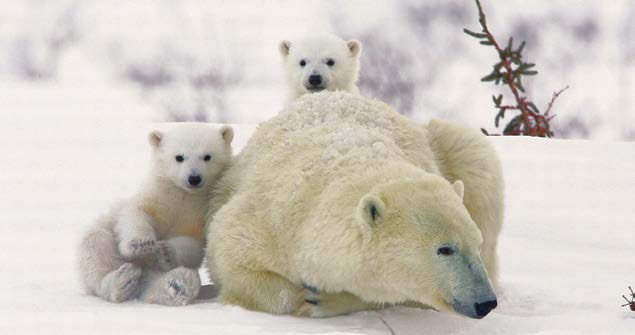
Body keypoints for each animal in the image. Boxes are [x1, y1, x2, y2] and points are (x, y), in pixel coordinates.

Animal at [79, 124, 234, 308]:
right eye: (179, 157)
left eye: (207, 156)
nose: (194, 178)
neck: (184, 195)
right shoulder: (157, 197)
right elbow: (138, 212)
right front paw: (142, 244)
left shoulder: (201, 213)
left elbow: (194, 244)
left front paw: (165, 251)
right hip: (105, 232)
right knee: (96, 246)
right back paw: (122, 282)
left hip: (156, 275)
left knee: (170, 280)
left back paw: (177, 286)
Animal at [206, 93, 504, 318]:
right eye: (445, 249)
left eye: (475, 243)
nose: (485, 302)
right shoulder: (272, 219)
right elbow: (229, 254)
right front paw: (306, 297)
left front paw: (323, 300)